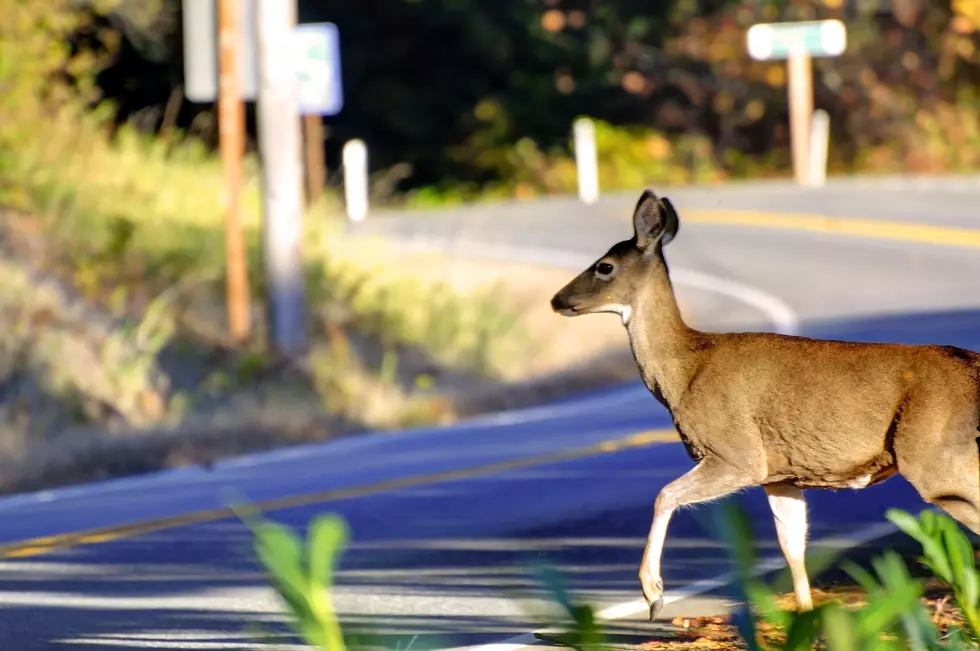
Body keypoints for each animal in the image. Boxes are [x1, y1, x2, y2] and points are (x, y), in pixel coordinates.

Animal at [548, 187, 976, 620]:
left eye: (604, 266)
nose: (556, 299)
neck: (686, 370)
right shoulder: (781, 473)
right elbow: (793, 547)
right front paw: (805, 617)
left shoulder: (737, 453)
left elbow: (664, 494)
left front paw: (653, 594)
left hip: (936, 459)